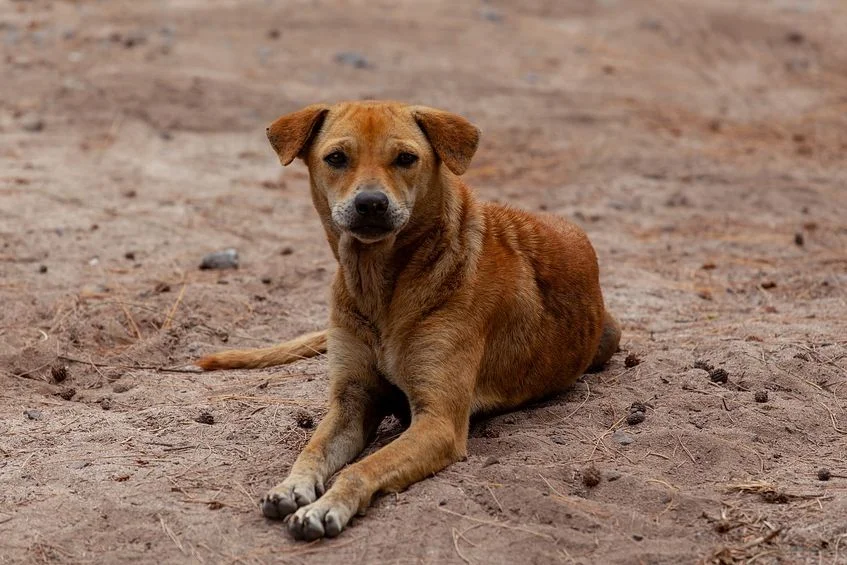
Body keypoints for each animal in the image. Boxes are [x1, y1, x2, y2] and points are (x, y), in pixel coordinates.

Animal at [199, 100, 624, 536]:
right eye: (336, 158)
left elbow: (362, 468)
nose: (371, 203)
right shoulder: (351, 401)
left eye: (406, 158)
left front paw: (327, 505)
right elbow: (312, 449)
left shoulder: (438, 422)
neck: (380, 286)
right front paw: (292, 485)